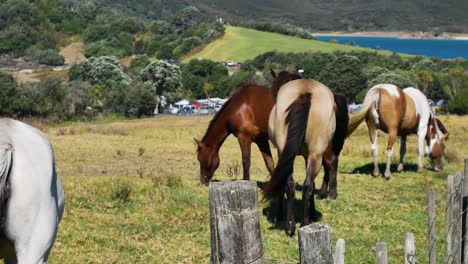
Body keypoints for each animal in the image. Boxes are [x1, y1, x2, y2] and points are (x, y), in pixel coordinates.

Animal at [266, 70, 338, 235]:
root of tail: (306, 91)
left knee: (292, 185)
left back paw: (292, 224)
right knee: (306, 185)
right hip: (315, 154)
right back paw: (303, 223)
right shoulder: (307, 156)